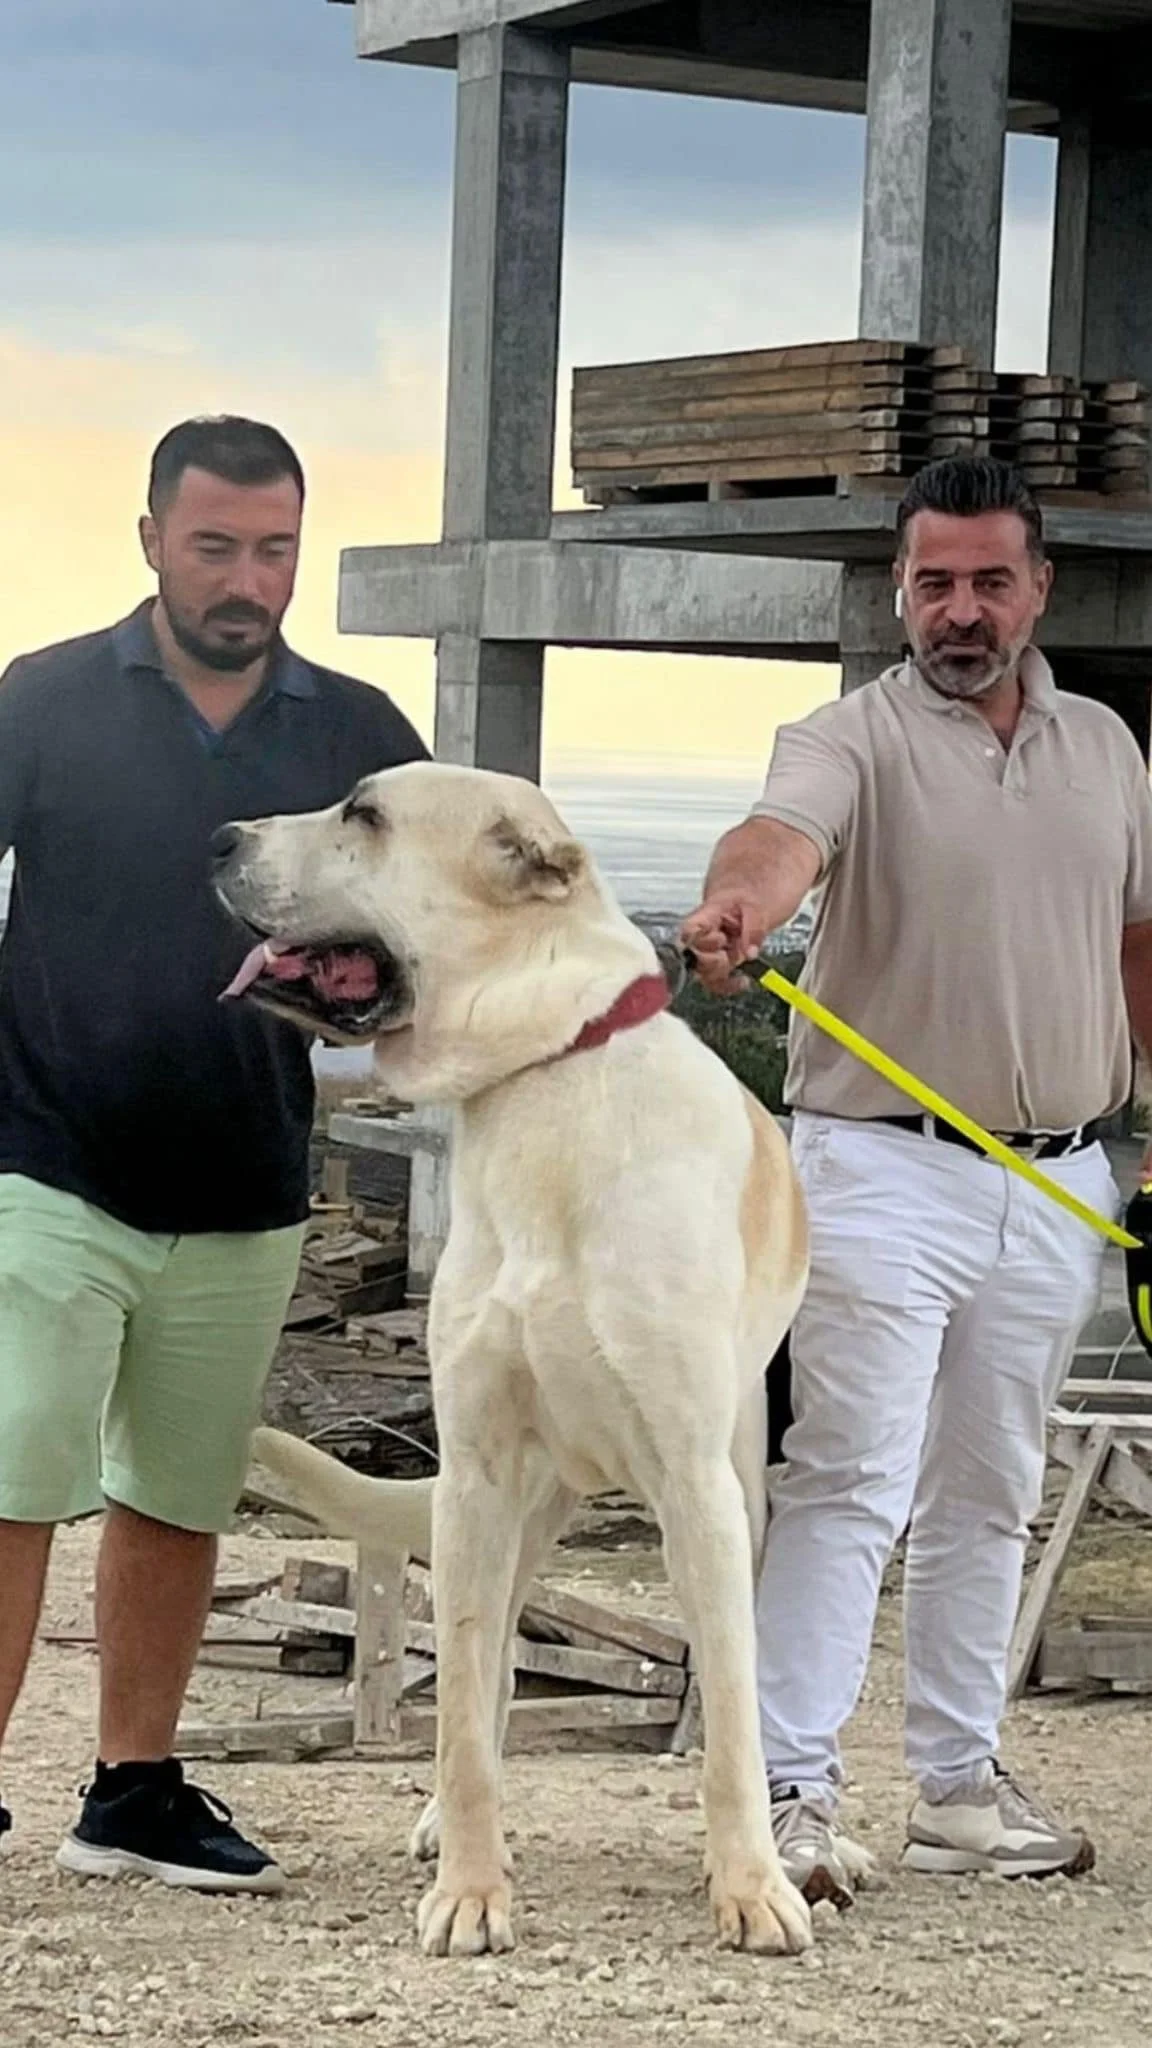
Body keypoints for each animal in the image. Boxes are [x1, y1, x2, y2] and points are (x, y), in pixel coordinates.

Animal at [214, 760, 815, 1960]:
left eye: (364, 813)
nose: (216, 839)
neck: (546, 1074)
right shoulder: (478, 1474)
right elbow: (461, 1711)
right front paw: (470, 1887)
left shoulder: (701, 1493)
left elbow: (732, 1716)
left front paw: (750, 1885)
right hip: (511, 1511)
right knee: (481, 1677)